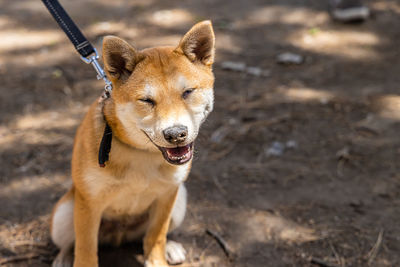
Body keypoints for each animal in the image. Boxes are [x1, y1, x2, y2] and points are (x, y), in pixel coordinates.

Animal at [50, 21, 216, 267]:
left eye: (188, 92)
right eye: (146, 100)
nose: (176, 134)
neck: (141, 152)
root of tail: (120, 234)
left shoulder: (167, 195)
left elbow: (156, 236)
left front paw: (158, 259)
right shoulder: (89, 204)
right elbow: (86, 250)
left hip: (179, 201)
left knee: (151, 235)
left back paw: (171, 247)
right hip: (63, 216)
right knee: (69, 244)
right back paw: (64, 258)